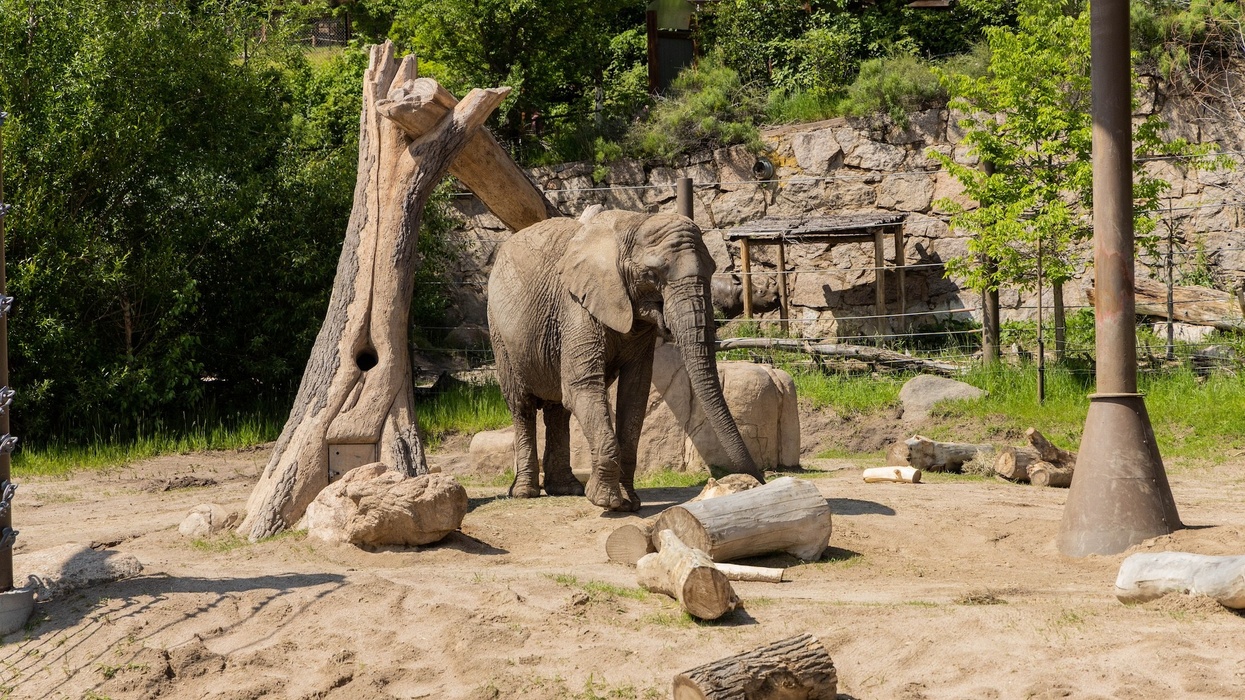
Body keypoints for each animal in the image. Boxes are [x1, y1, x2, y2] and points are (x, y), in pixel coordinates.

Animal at [487, 210, 765, 511]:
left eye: (713, 270)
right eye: (652, 275)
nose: (761, 480)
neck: (634, 224)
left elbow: (635, 392)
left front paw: (628, 502)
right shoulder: (576, 307)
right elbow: (584, 386)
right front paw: (606, 501)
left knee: (558, 408)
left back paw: (566, 489)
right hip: (499, 331)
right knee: (522, 405)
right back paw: (525, 492)